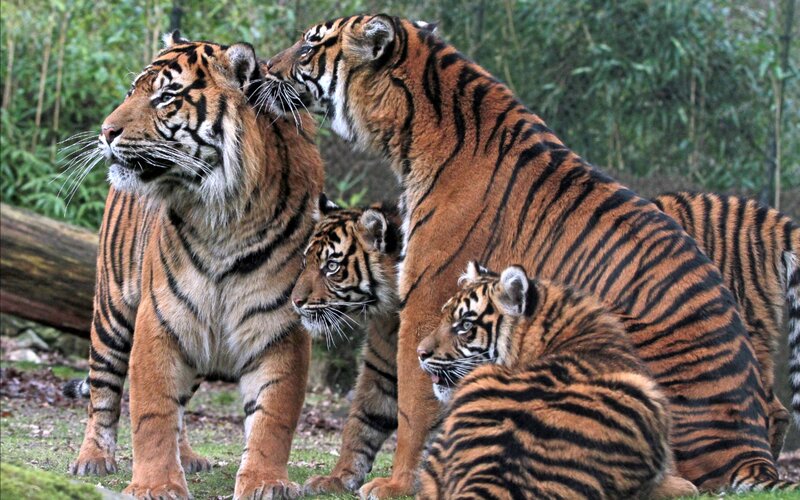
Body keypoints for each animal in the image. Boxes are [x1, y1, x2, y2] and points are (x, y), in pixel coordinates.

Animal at [64, 32, 323, 499]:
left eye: (166, 97)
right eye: (132, 91)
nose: (106, 132)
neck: (224, 215)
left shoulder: (280, 330)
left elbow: (273, 418)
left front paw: (266, 483)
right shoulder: (160, 319)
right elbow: (151, 413)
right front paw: (156, 485)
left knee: (182, 404)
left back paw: (187, 456)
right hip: (111, 313)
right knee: (102, 393)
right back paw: (92, 459)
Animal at [290, 196, 403, 494]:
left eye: (331, 266)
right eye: (305, 261)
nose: (295, 301)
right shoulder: (382, 369)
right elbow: (361, 423)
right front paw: (338, 478)